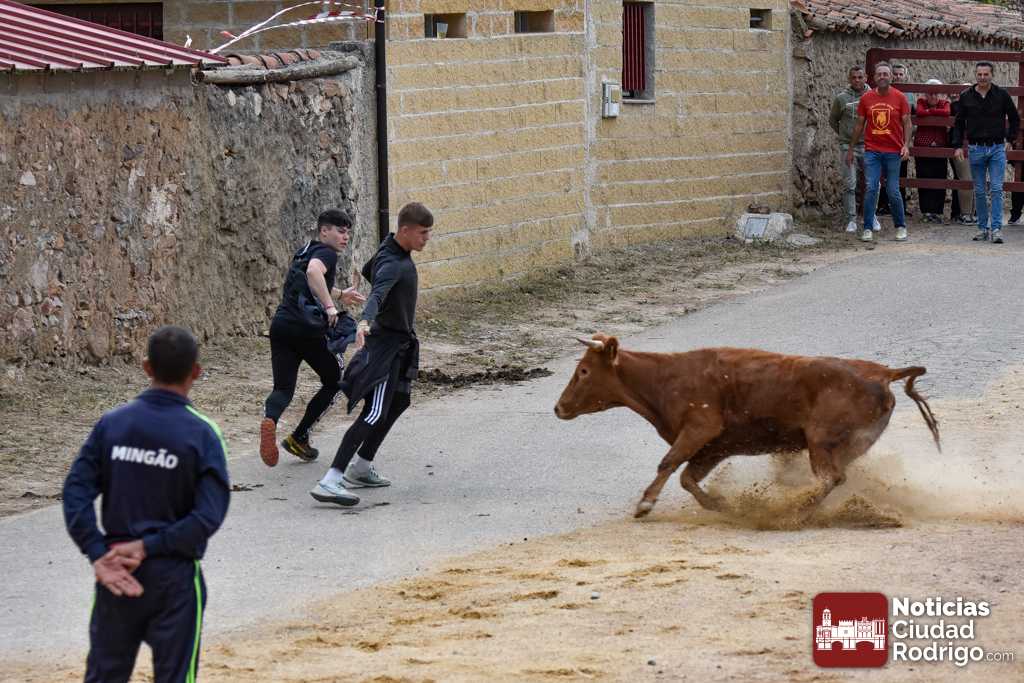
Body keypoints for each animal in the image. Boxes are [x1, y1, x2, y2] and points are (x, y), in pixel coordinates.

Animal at [554, 334, 940, 519]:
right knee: (838, 477)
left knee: (831, 478)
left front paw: (645, 504)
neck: (665, 378)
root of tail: (883, 373)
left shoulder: (700, 429)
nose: (558, 408)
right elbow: (687, 477)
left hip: (820, 441)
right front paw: (721, 505)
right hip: (850, 445)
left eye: (584, 371)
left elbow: (668, 463)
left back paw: (796, 512)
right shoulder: (713, 447)